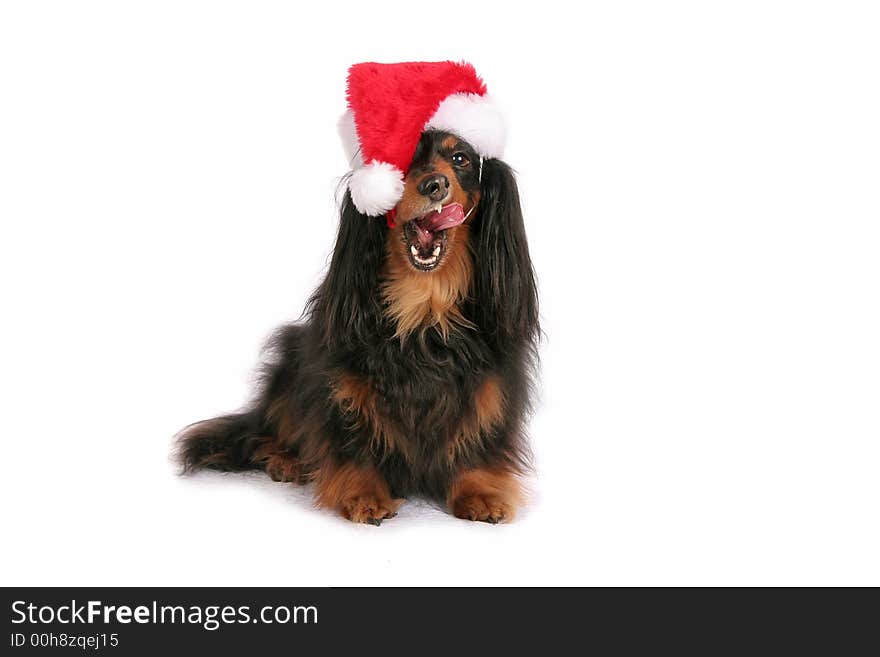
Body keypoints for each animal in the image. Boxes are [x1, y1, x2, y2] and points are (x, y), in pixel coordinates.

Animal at [176, 62, 540, 524]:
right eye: (404, 158)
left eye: (461, 159)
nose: (435, 185)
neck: (424, 306)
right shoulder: (342, 380)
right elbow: (352, 434)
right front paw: (363, 492)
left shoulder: (491, 383)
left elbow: (481, 436)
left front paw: (480, 490)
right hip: (292, 360)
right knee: (274, 430)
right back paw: (286, 460)